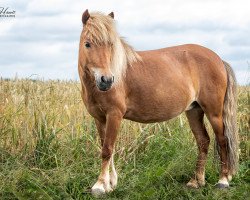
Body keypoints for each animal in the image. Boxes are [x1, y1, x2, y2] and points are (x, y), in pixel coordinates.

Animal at [78, 9, 238, 197]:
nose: (106, 80)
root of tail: (219, 59)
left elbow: (107, 150)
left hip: (214, 112)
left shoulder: (114, 115)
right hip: (194, 111)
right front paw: (109, 184)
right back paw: (196, 181)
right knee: (203, 140)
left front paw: (99, 186)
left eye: (111, 45)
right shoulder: (100, 118)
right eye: (87, 44)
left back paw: (223, 181)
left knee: (222, 140)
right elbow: (107, 148)